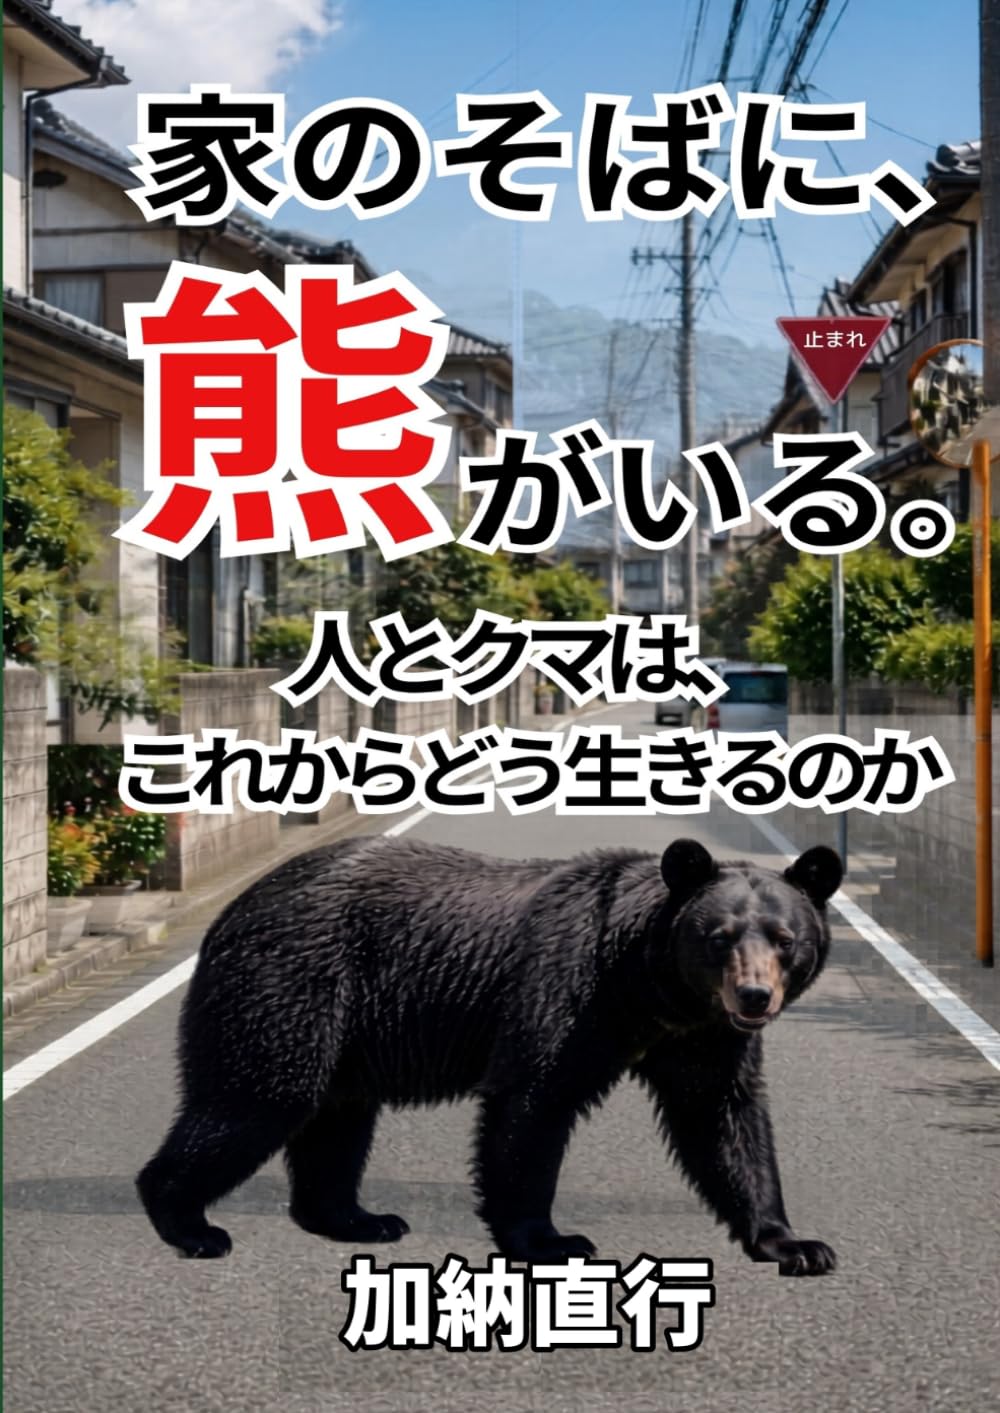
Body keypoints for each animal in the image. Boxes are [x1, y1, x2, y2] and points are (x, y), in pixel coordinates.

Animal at [137, 834, 843, 1276]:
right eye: (718, 936)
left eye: (785, 938)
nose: (754, 996)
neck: (646, 985)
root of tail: (228, 912)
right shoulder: (567, 990)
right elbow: (532, 1104)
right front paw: (552, 1239)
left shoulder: (699, 1036)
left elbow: (722, 1118)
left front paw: (794, 1243)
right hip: (290, 985)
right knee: (257, 1097)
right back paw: (190, 1223)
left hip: (339, 1031)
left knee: (337, 1119)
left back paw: (358, 1218)